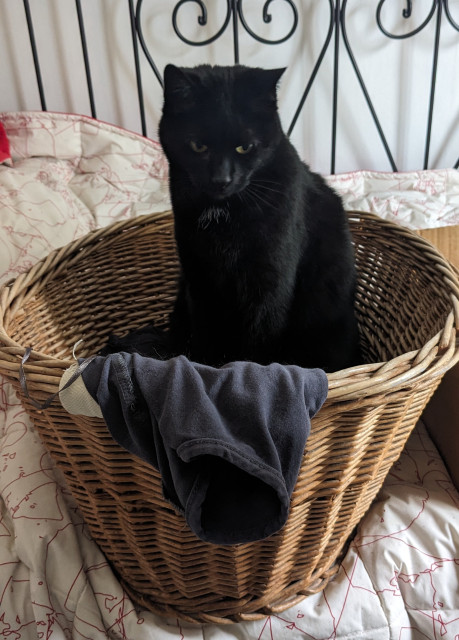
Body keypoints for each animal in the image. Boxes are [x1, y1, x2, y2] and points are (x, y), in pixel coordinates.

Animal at [156, 62, 362, 372]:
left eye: (245, 147)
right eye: (198, 146)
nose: (221, 179)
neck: (225, 213)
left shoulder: (269, 279)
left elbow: (260, 334)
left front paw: (248, 371)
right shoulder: (198, 276)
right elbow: (206, 329)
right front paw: (206, 366)